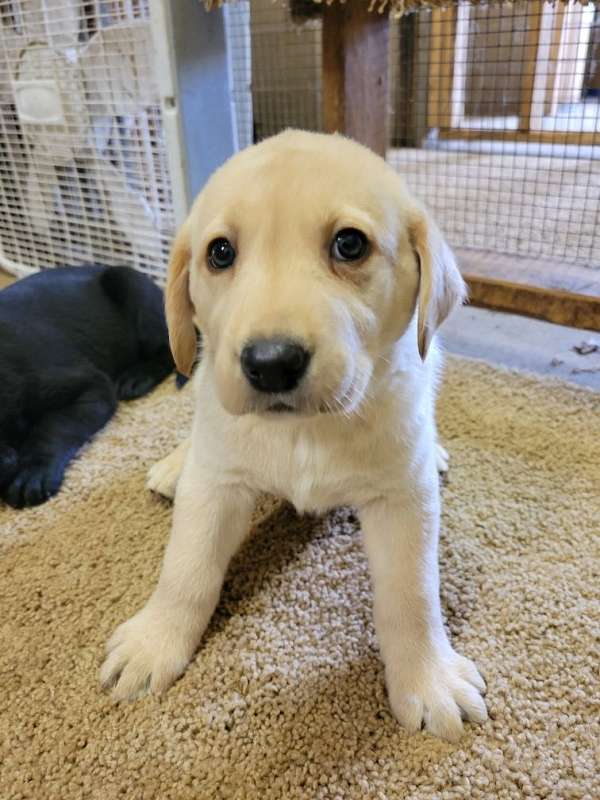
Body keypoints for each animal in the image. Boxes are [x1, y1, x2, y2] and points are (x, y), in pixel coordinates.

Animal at [1, 266, 176, 510]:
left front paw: (33, 472)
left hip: (131, 285)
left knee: (171, 351)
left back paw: (136, 377)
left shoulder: (94, 387)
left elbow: (53, 427)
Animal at [101, 130, 486, 736]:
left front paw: (428, 679)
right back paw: (175, 463)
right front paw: (155, 640)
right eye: (220, 253)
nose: (271, 363)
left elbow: (412, 595)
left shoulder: (403, 497)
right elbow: (186, 567)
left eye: (349, 245)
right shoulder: (217, 483)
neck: (306, 430)